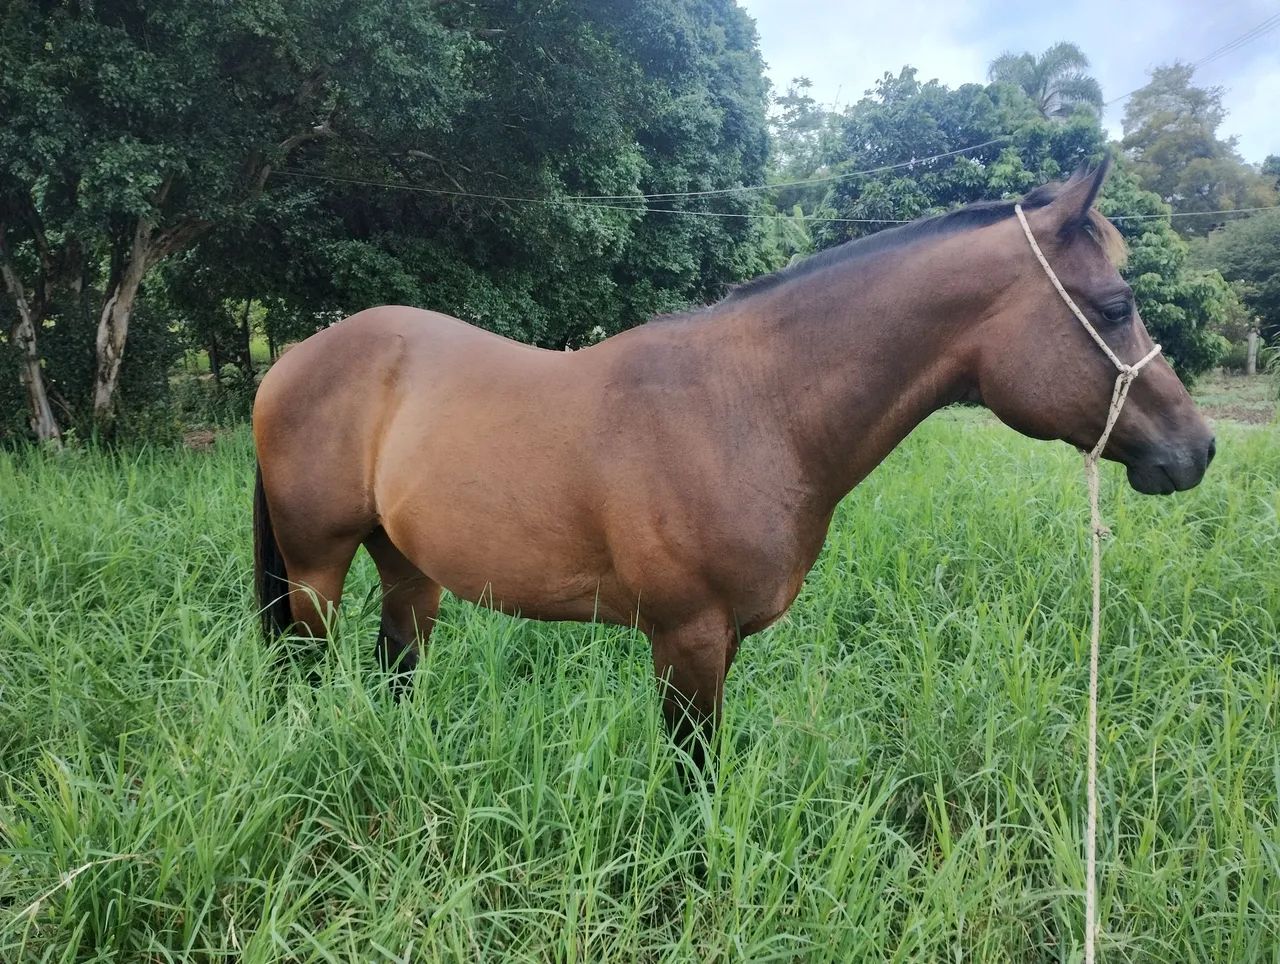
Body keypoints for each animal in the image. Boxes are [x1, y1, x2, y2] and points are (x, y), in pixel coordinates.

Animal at [252, 160, 1215, 765]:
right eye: (1115, 304)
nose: (1196, 449)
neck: (751, 408)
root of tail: (290, 359)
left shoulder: (726, 644)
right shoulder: (686, 640)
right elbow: (694, 777)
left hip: (409, 569)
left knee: (396, 668)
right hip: (315, 572)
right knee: (305, 668)